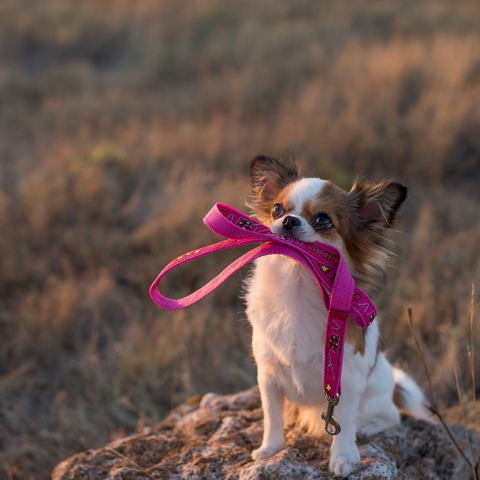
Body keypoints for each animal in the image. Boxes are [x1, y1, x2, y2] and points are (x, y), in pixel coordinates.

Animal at [244, 156, 432, 474]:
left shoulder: (346, 381)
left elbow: (342, 420)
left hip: (375, 399)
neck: (298, 288)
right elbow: (272, 416)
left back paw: (367, 428)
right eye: (277, 210)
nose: (288, 220)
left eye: (323, 220)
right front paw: (270, 448)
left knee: (389, 417)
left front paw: (344, 457)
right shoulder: (268, 376)